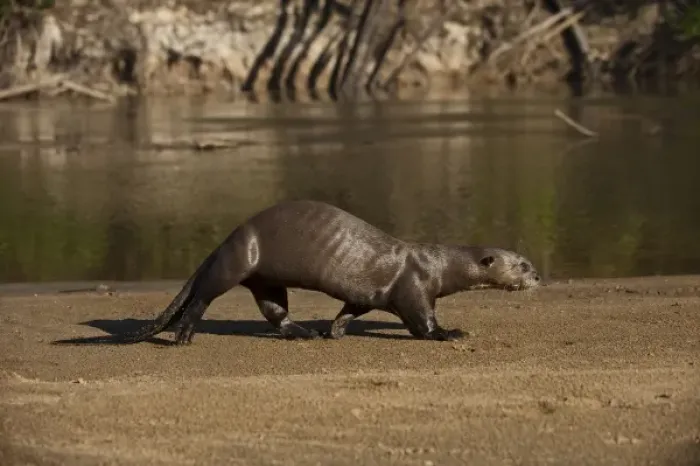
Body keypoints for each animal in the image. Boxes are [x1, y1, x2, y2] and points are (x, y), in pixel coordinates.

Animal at [109, 200, 541, 345]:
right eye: (522, 265)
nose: (538, 277)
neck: (438, 264)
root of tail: (227, 239)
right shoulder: (414, 287)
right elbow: (422, 321)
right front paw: (450, 333)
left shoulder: (370, 294)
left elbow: (350, 309)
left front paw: (334, 330)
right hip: (240, 260)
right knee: (204, 295)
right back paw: (184, 336)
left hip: (265, 278)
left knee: (275, 311)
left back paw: (305, 333)